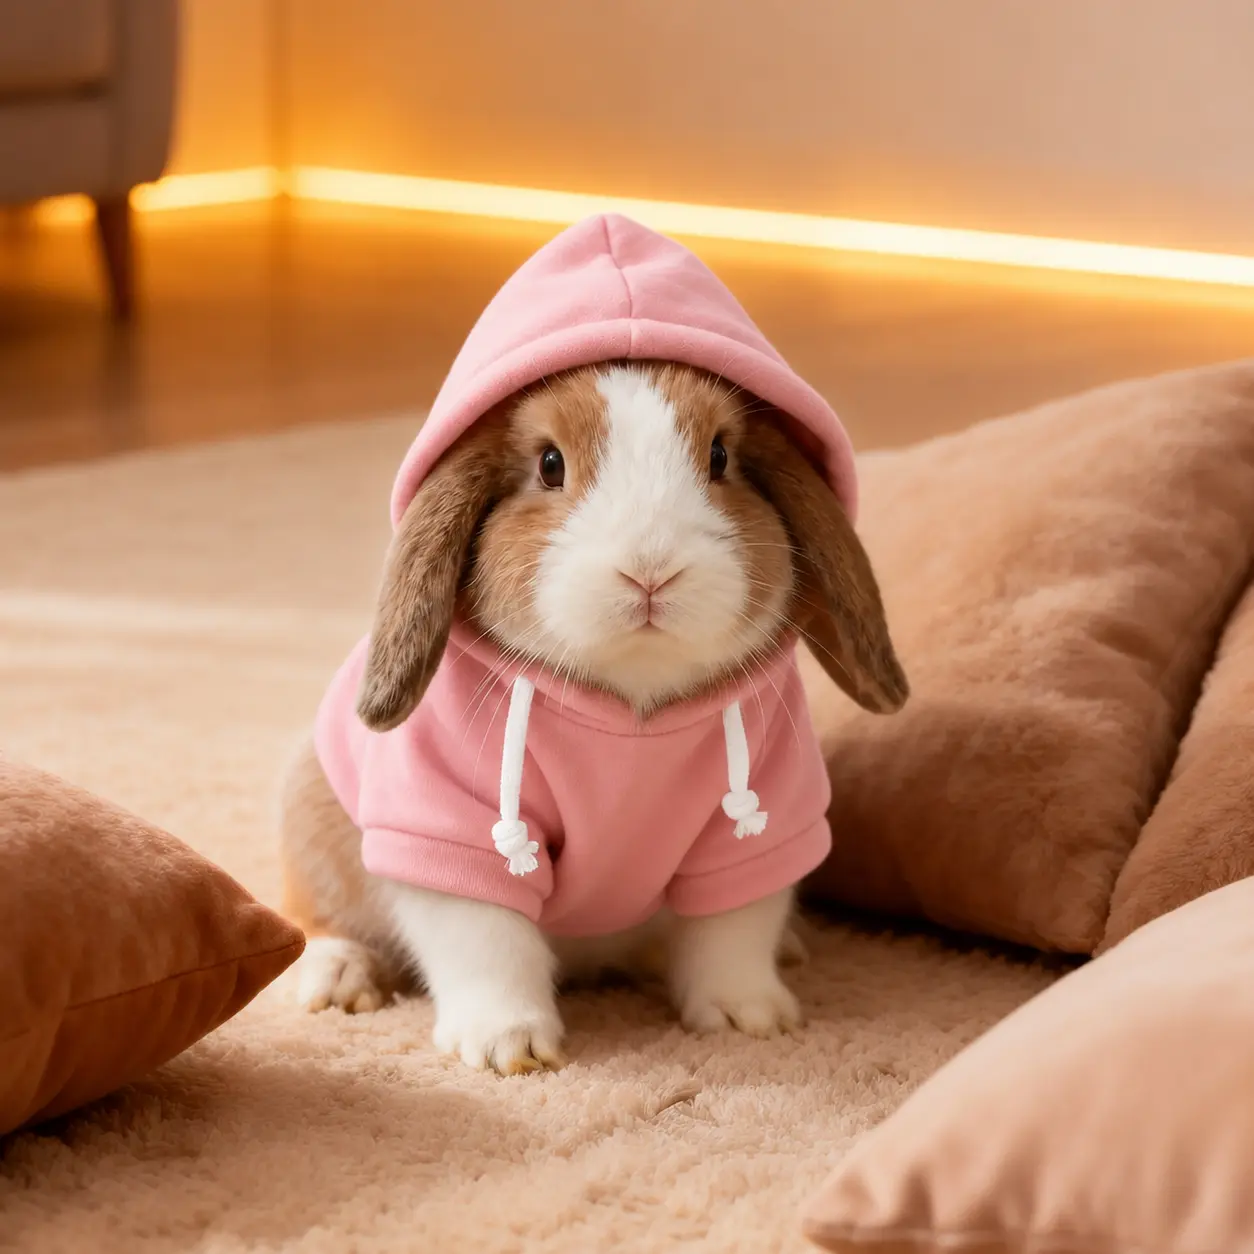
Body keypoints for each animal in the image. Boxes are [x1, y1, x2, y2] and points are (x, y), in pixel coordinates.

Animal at [279, 359, 906, 1075]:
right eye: (550, 464)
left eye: (721, 456)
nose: (650, 570)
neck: (631, 709)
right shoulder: (450, 833)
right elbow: (486, 940)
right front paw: (508, 1047)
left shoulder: (760, 827)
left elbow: (734, 929)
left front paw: (749, 1019)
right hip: (315, 828)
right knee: (316, 920)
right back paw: (338, 981)